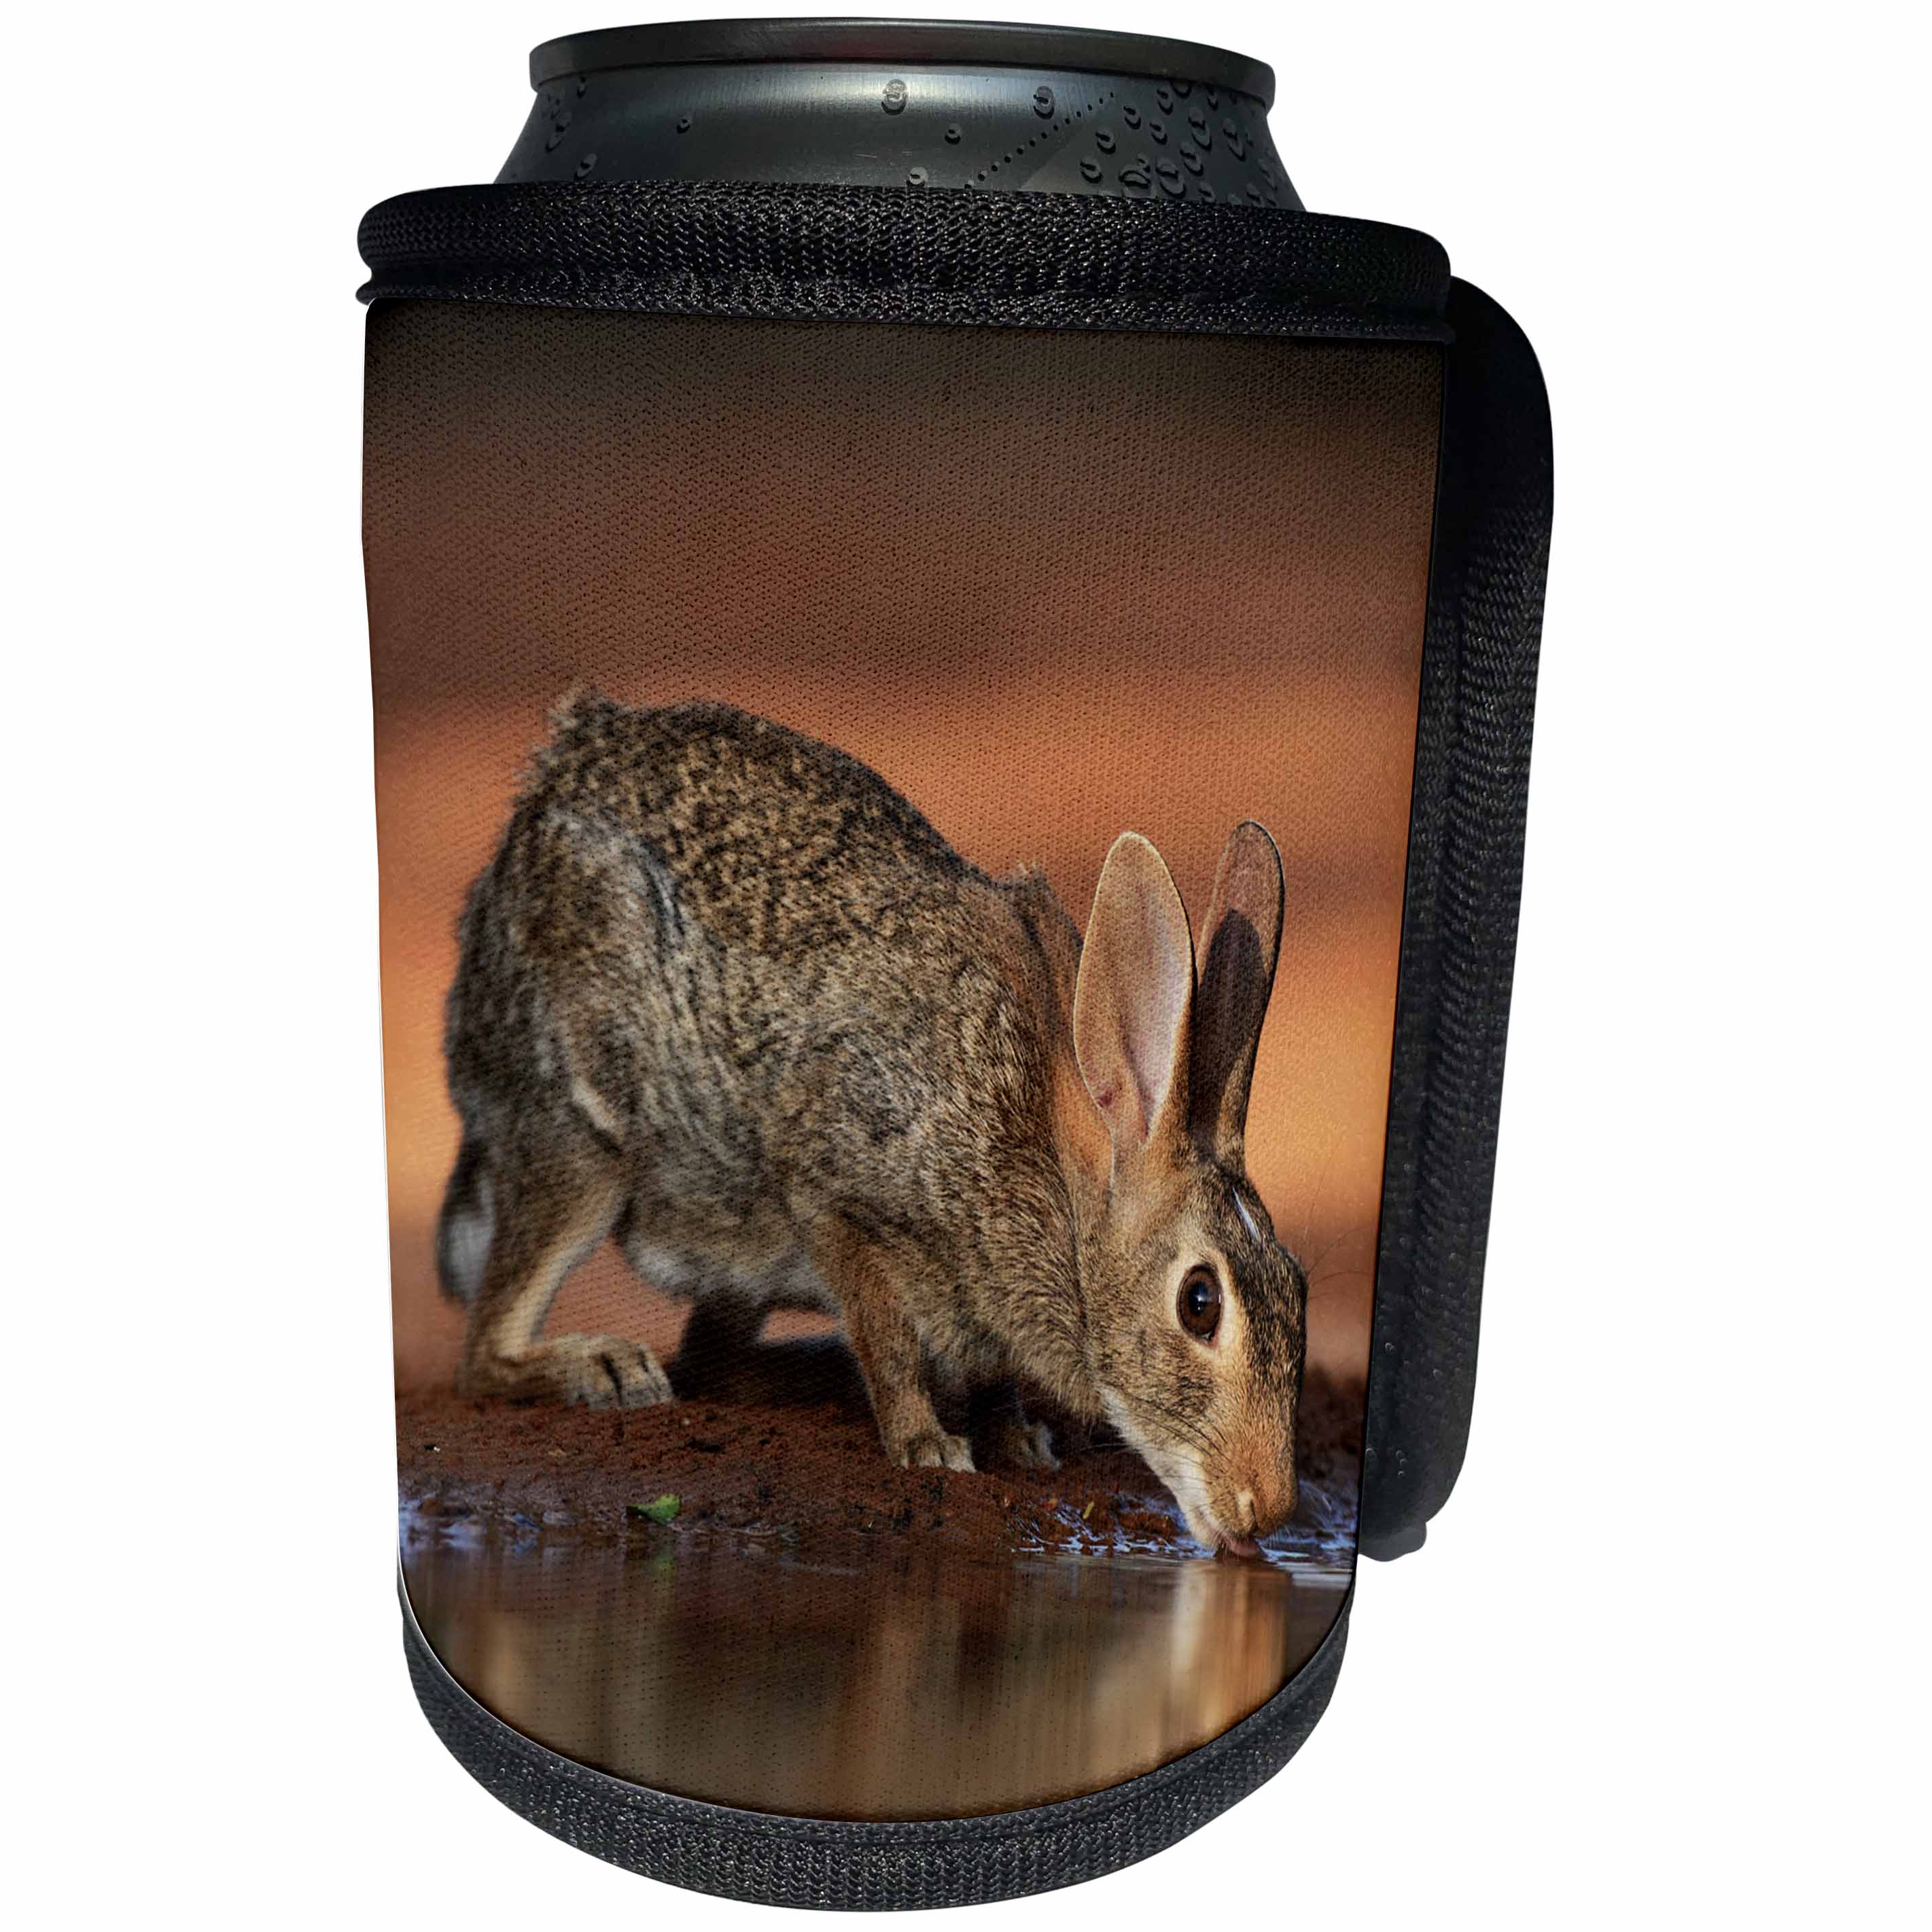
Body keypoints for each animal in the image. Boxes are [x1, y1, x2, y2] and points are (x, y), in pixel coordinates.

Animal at [436, 693, 1307, 1552]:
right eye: (1199, 1301)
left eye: (1297, 1283)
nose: (1265, 1509)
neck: (1057, 1185)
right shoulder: (840, 1196)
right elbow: (886, 1342)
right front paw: (928, 1448)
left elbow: (987, 1374)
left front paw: (1015, 1441)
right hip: (580, 1142)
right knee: (486, 1348)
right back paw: (606, 1368)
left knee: (710, 1361)